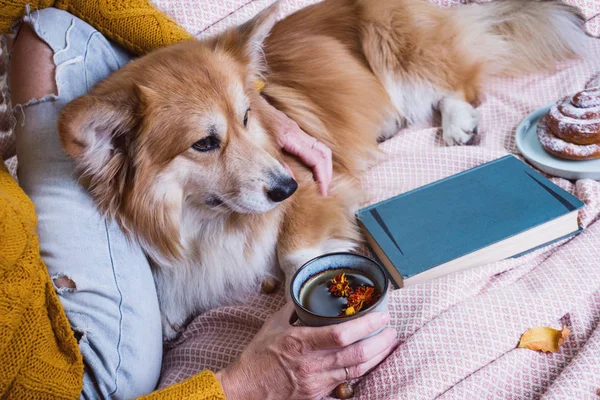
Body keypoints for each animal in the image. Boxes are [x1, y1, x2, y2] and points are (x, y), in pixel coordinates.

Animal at [59, 0, 584, 340]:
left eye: (246, 116)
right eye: (204, 144)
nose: (286, 187)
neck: (205, 219)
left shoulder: (317, 183)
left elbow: (295, 252)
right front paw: (170, 308)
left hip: (389, 42)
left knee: (454, 83)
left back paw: (457, 123)